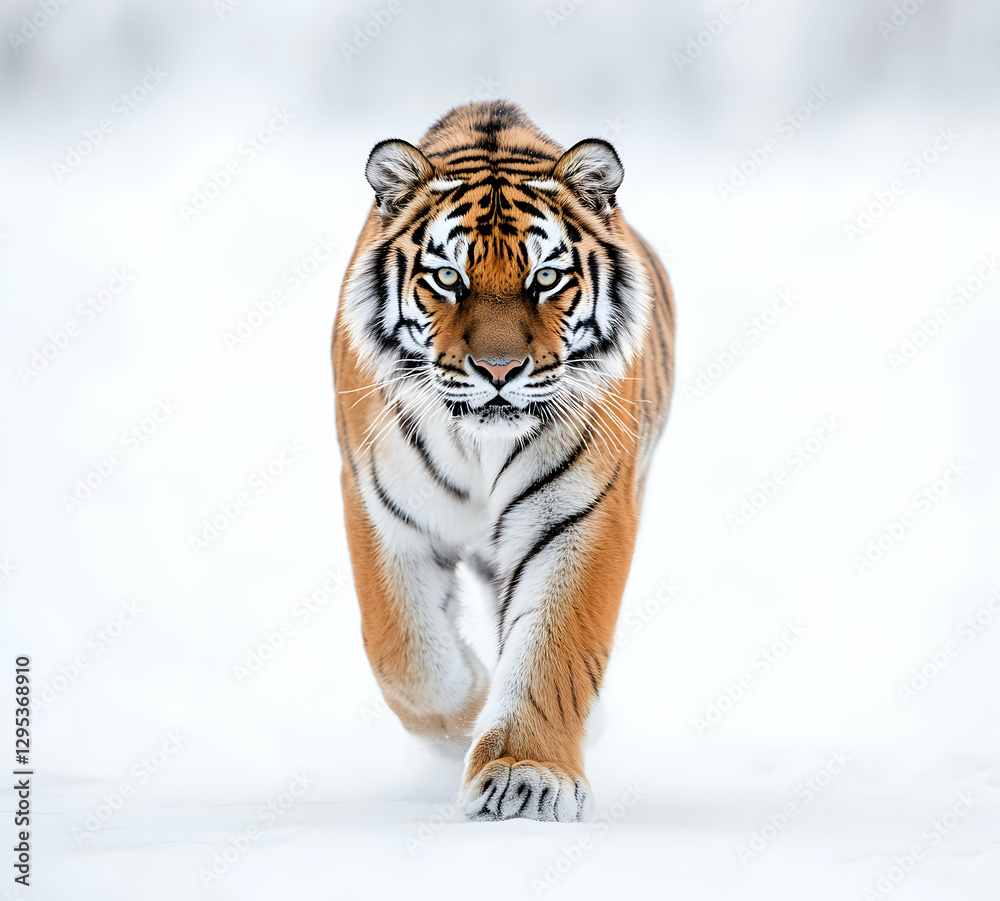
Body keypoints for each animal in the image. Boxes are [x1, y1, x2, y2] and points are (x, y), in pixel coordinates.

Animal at [332, 100, 674, 823]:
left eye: (545, 277)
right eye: (447, 277)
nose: (497, 369)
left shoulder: (581, 513)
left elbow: (554, 647)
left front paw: (525, 783)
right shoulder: (381, 505)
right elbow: (405, 654)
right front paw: (467, 708)